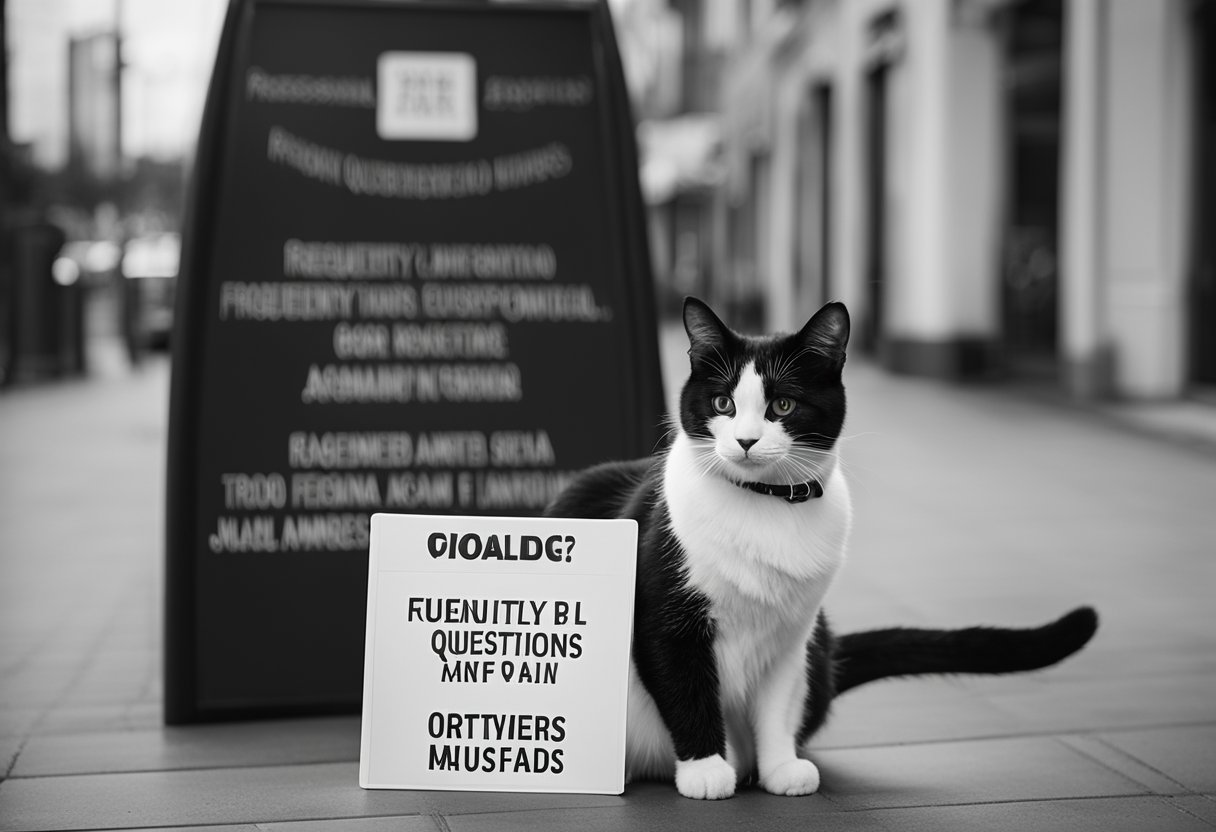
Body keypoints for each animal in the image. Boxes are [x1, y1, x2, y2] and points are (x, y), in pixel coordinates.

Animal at [547, 296, 1099, 797]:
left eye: (783, 405)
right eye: (723, 403)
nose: (745, 440)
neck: (766, 504)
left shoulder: (792, 635)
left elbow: (777, 704)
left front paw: (780, 768)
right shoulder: (666, 620)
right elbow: (684, 687)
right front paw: (706, 770)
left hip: (816, 641)